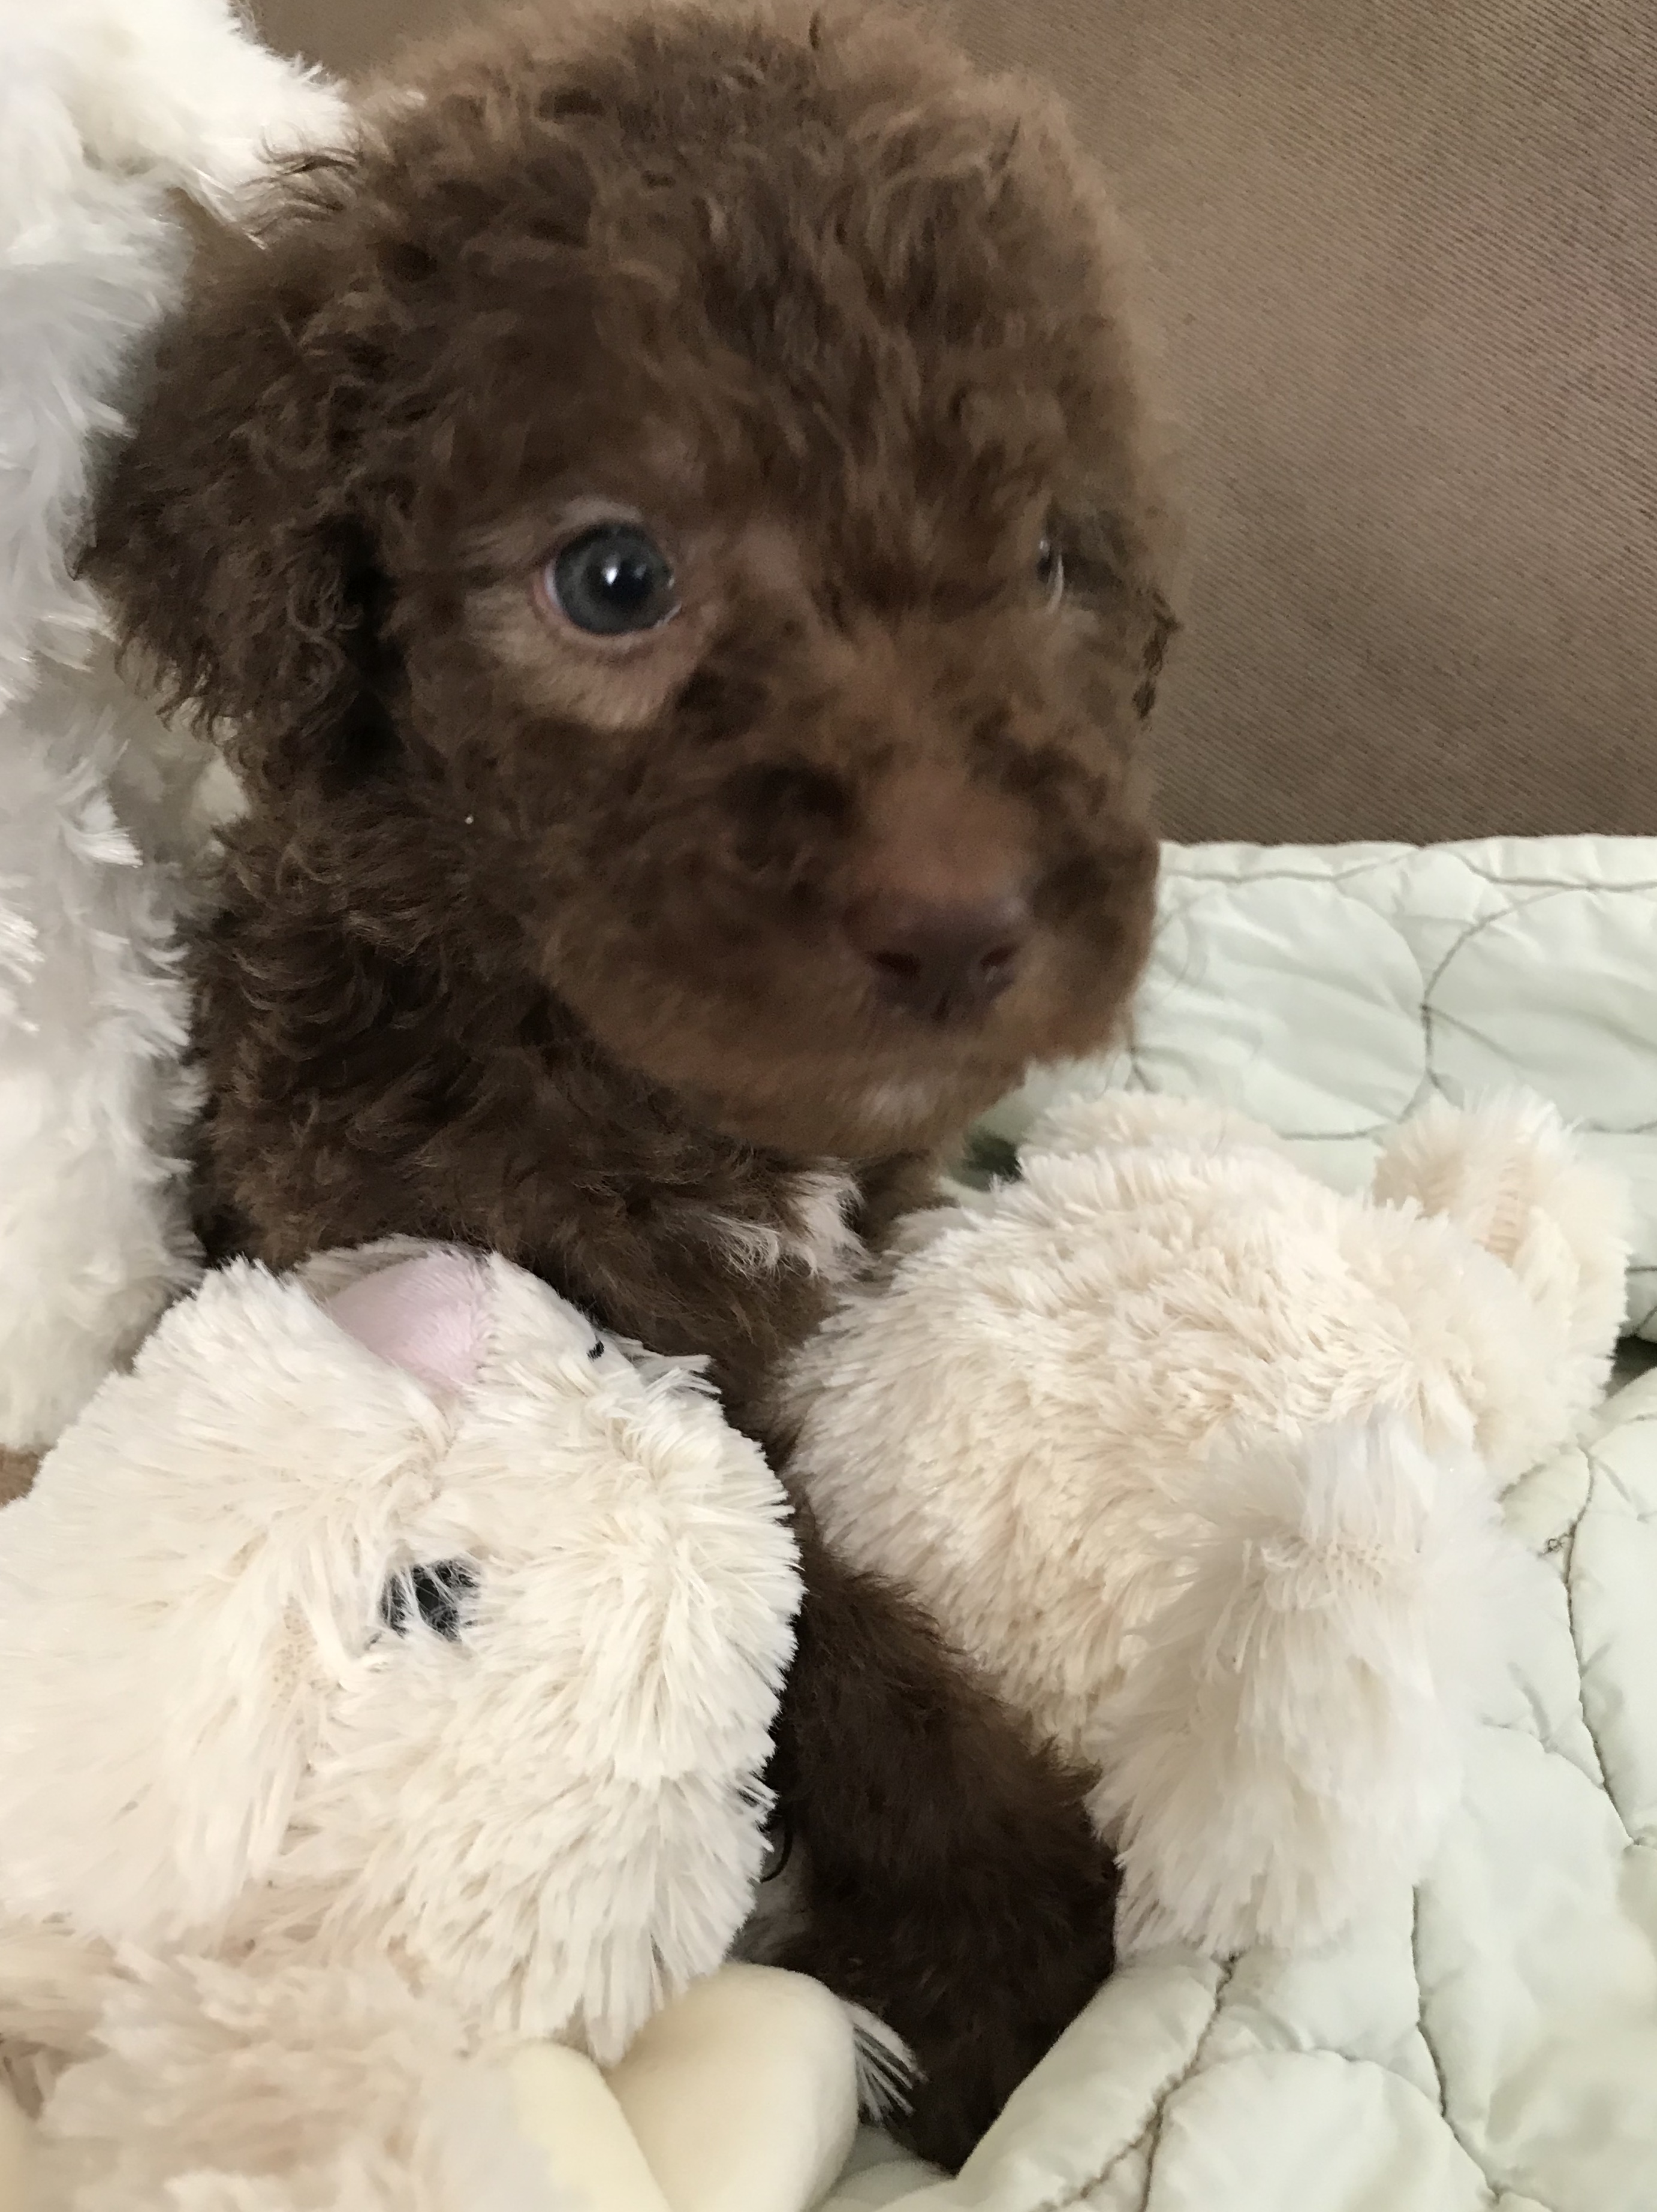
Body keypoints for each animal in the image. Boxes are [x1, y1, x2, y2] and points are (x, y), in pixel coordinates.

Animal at [91, 0, 1168, 2168]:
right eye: (611, 581)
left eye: (1043, 562)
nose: (964, 914)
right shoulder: (516, 1286)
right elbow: (809, 1604)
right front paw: (1006, 1944)